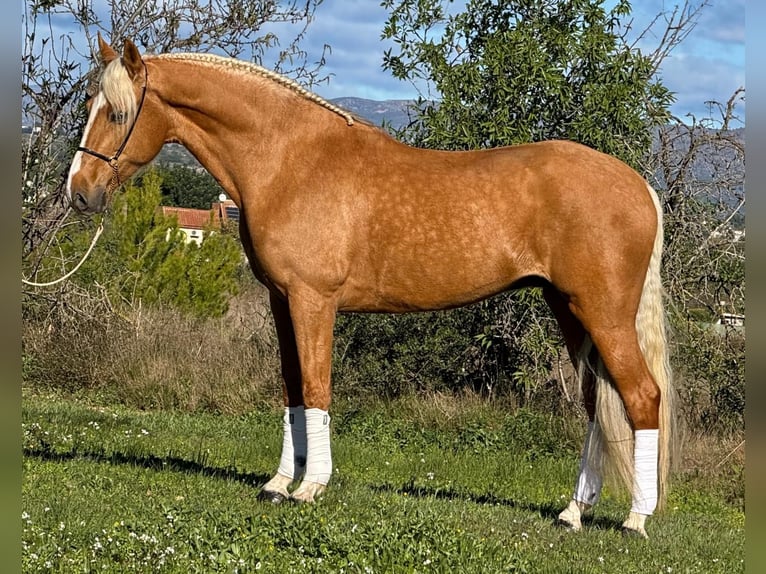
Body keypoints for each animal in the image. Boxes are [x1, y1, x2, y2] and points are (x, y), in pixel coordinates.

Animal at [66, 35, 675, 538]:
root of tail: (639, 184)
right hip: (569, 310)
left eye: (118, 112)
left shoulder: (313, 300)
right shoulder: (281, 301)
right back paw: (573, 512)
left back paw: (635, 519)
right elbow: (291, 389)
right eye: (87, 106)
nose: (79, 192)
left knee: (643, 397)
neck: (289, 159)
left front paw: (310, 487)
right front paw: (278, 484)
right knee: (596, 404)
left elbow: (317, 387)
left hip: (604, 314)